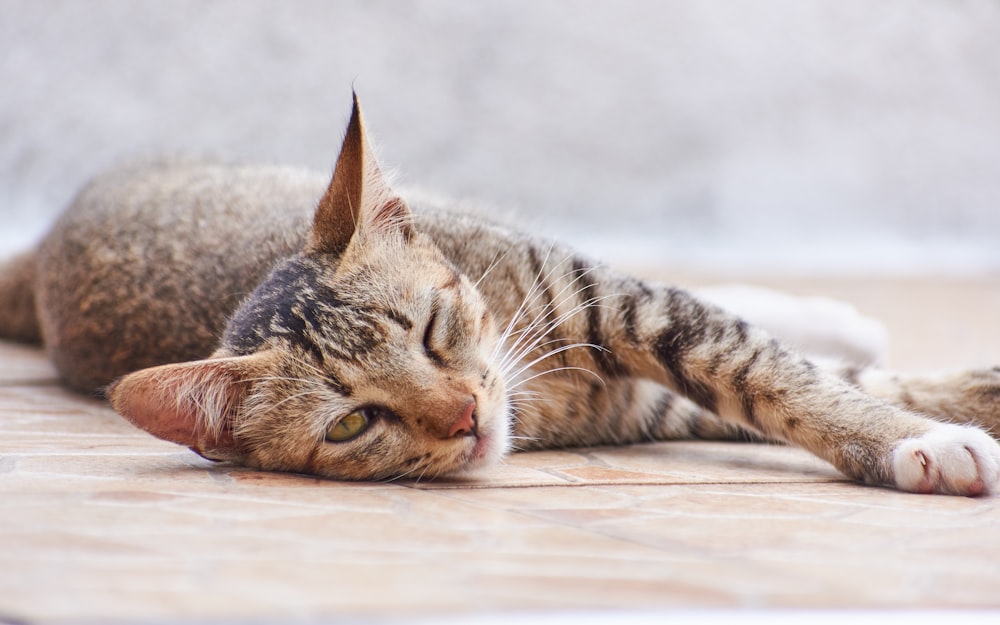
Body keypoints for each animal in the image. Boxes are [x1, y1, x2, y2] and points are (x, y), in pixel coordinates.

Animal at [1, 95, 1000, 492]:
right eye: (353, 422)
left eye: (435, 330)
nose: (468, 416)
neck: (543, 386)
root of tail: (44, 249)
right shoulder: (648, 408)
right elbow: (799, 387)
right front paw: (924, 435)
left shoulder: (631, 309)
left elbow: (785, 375)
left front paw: (922, 424)